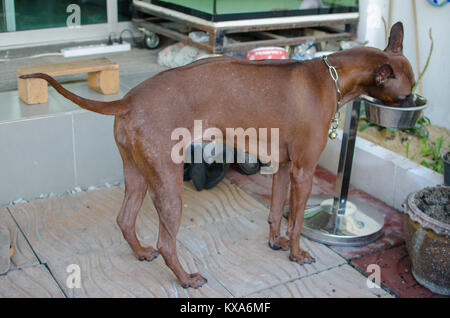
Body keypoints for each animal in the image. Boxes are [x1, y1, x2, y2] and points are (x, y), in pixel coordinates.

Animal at [21, 21, 414, 286]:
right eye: (408, 93)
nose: (415, 107)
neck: (330, 74)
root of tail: (129, 99)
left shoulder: (283, 167)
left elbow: (276, 212)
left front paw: (275, 242)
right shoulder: (303, 170)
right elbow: (298, 222)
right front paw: (296, 253)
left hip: (138, 174)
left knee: (126, 220)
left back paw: (141, 252)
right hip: (168, 184)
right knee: (166, 241)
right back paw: (185, 278)